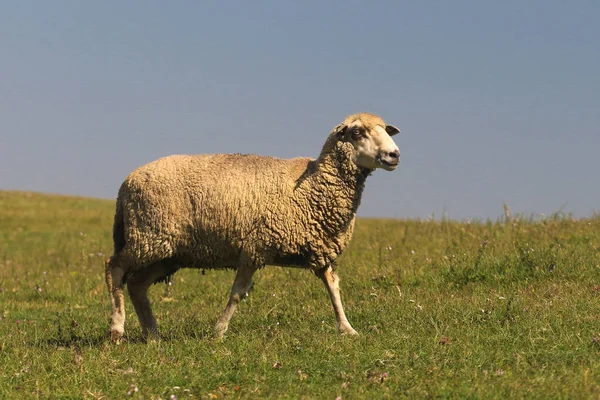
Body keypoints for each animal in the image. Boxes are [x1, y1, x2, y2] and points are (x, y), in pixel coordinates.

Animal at [105, 112, 400, 340]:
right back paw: (118, 328)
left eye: (386, 131)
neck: (314, 186)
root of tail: (126, 182)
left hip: (167, 251)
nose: (394, 154)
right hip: (148, 236)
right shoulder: (255, 247)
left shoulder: (320, 249)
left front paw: (347, 329)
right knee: (115, 268)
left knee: (137, 285)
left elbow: (334, 289)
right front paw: (219, 331)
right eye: (357, 132)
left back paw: (152, 333)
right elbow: (237, 293)